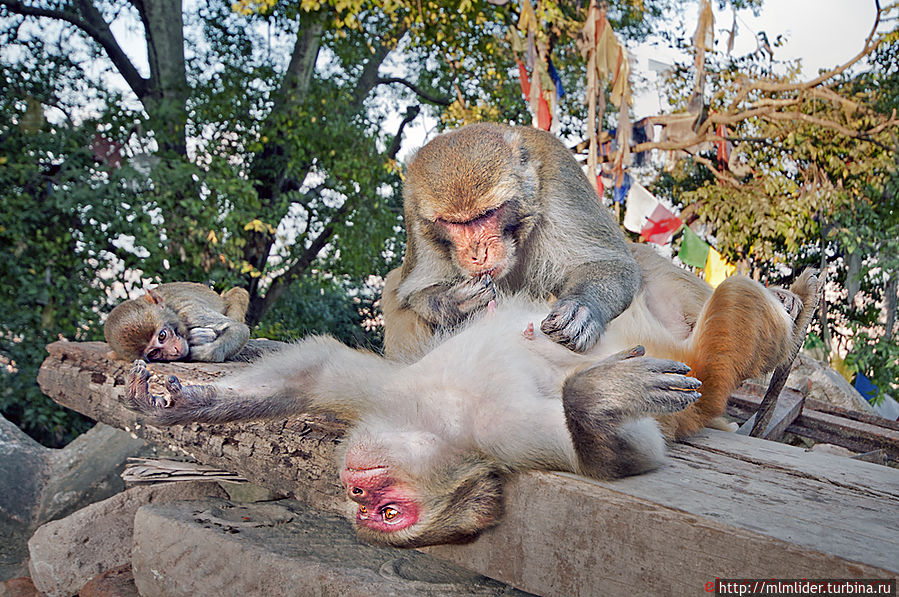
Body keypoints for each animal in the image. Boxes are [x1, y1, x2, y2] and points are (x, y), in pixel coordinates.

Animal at [105, 282, 250, 360]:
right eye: (153, 353)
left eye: (162, 336)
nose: (173, 351)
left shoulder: (188, 312)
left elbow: (239, 329)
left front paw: (199, 353)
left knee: (239, 292)